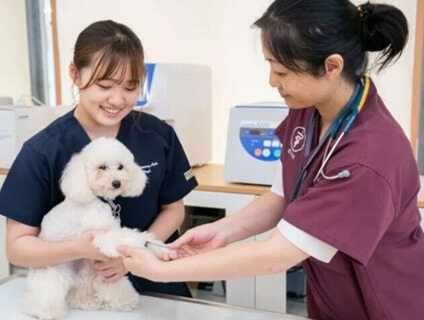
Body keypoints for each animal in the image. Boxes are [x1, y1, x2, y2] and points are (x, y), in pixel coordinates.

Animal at [23, 138, 169, 320]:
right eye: (102, 167)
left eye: (120, 166)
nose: (116, 183)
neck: (97, 200)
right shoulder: (100, 234)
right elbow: (126, 236)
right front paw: (143, 243)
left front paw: (158, 246)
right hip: (55, 271)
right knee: (45, 294)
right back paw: (47, 311)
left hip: (87, 267)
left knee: (83, 288)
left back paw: (89, 301)